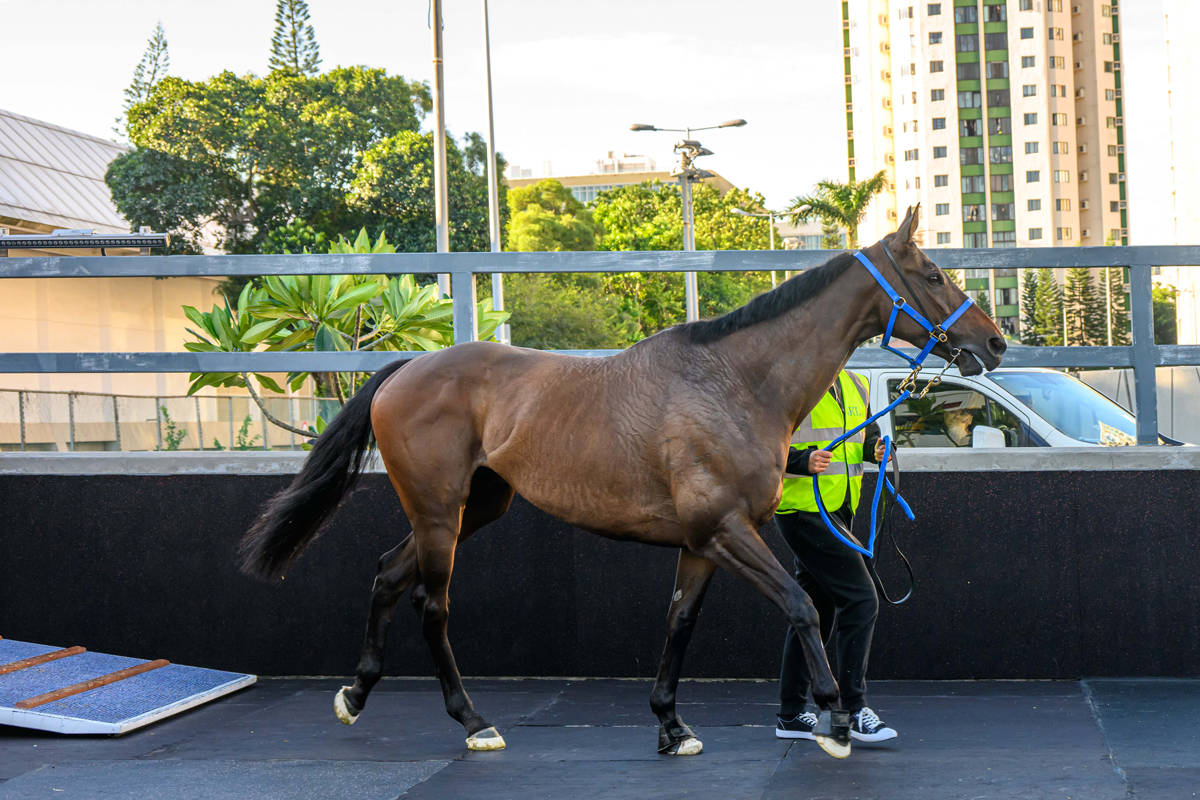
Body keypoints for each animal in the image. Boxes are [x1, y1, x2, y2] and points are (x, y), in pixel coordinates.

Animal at [241, 205, 1003, 758]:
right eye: (933, 273)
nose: (993, 343)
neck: (734, 384)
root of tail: (405, 369)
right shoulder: (726, 530)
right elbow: (799, 606)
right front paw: (835, 720)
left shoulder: (701, 543)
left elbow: (680, 622)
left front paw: (671, 725)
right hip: (438, 514)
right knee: (432, 605)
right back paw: (474, 721)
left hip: (473, 509)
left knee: (386, 574)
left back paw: (356, 694)